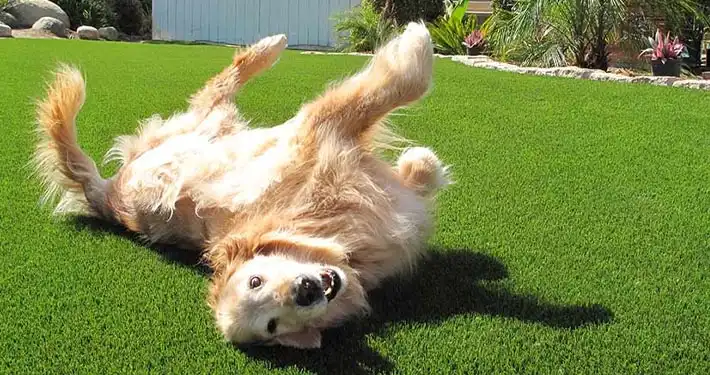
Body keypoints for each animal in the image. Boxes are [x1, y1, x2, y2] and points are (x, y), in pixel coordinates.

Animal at [32, 22, 450, 350]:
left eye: (255, 278)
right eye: (272, 325)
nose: (305, 291)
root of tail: (104, 194)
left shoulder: (318, 137)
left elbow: (398, 97)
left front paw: (422, 161)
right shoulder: (325, 134)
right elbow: (401, 86)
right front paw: (418, 46)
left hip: (207, 129)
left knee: (218, 86)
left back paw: (272, 45)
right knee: (216, 89)